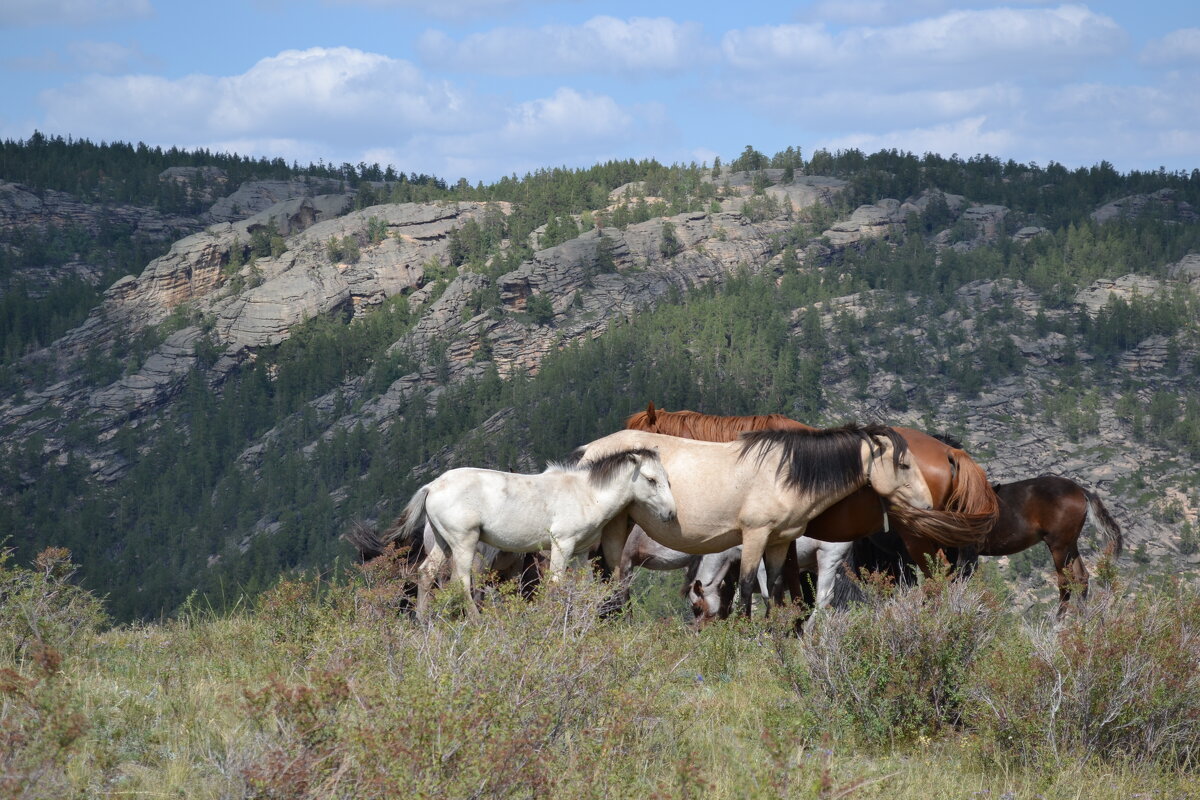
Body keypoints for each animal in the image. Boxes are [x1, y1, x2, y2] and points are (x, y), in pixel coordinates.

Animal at [403, 448, 681, 618]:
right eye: (651, 479)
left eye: (668, 479)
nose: (670, 513)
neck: (587, 494)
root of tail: (432, 486)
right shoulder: (562, 546)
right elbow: (556, 584)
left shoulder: (580, 552)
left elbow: (582, 587)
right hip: (464, 542)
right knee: (461, 581)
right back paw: (474, 621)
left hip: (443, 542)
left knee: (426, 573)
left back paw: (424, 621)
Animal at [576, 424, 931, 618]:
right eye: (903, 465)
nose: (927, 502)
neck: (785, 474)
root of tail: (588, 451)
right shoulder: (754, 536)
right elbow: (747, 586)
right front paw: (744, 630)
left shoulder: (778, 541)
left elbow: (773, 587)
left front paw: (776, 632)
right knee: (610, 577)